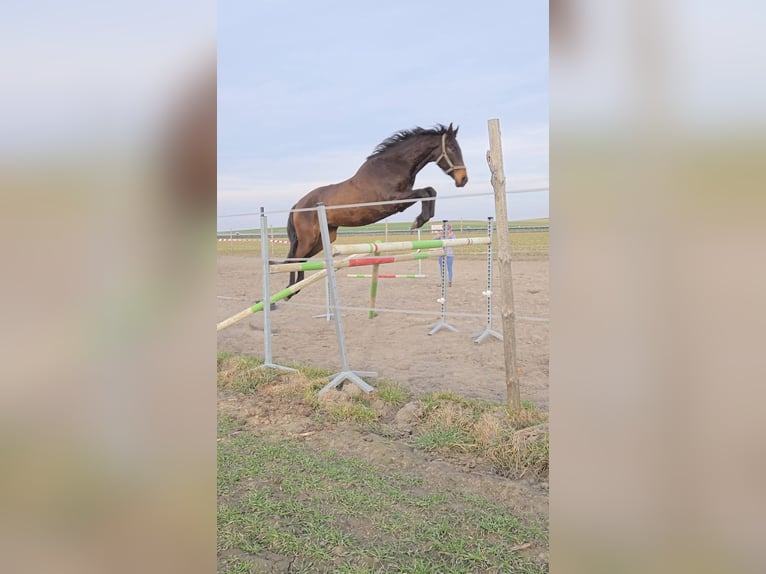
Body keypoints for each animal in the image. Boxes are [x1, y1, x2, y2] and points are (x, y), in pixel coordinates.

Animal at [284, 123, 468, 297]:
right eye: (452, 148)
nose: (463, 179)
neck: (393, 166)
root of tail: (298, 205)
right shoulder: (395, 201)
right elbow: (425, 192)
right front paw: (418, 221)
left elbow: (431, 191)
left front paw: (421, 219)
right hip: (309, 238)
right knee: (294, 258)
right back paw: (290, 290)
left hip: (323, 239)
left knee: (300, 259)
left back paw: (294, 288)